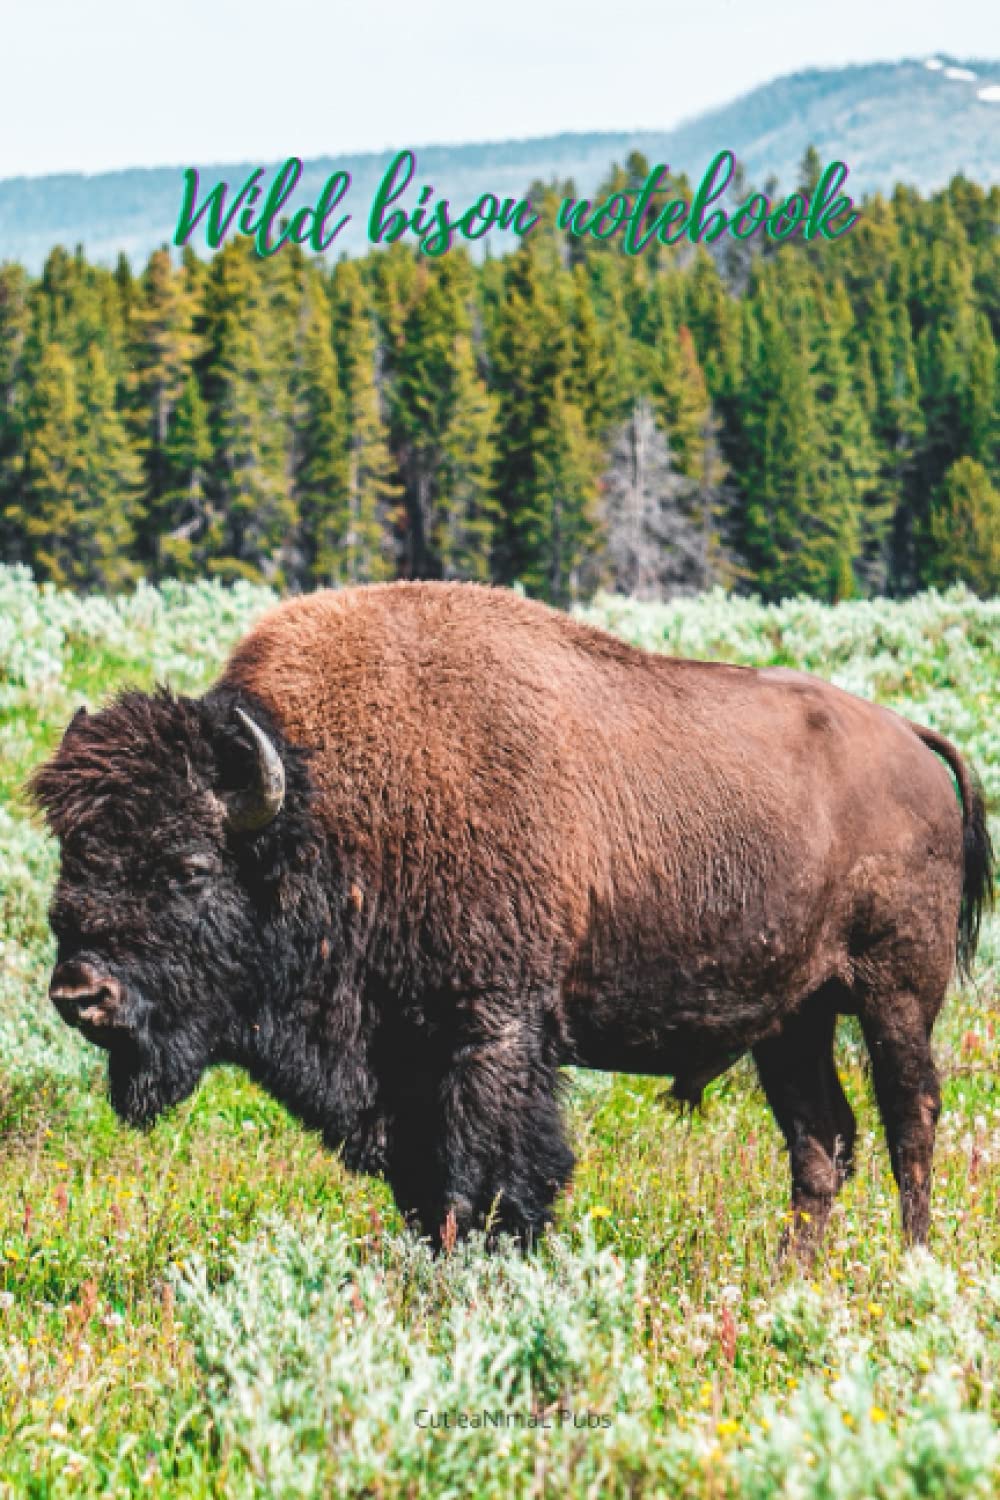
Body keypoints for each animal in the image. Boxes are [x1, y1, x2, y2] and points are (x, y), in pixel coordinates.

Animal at [30, 583, 993, 1254]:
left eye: (190, 868)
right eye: (72, 857)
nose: (81, 993)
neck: (320, 810)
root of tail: (911, 738)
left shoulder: (490, 1033)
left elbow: (492, 1180)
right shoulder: (406, 1067)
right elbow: (429, 1191)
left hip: (895, 997)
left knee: (910, 1120)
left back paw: (910, 1264)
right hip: (793, 1021)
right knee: (819, 1143)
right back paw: (795, 1276)